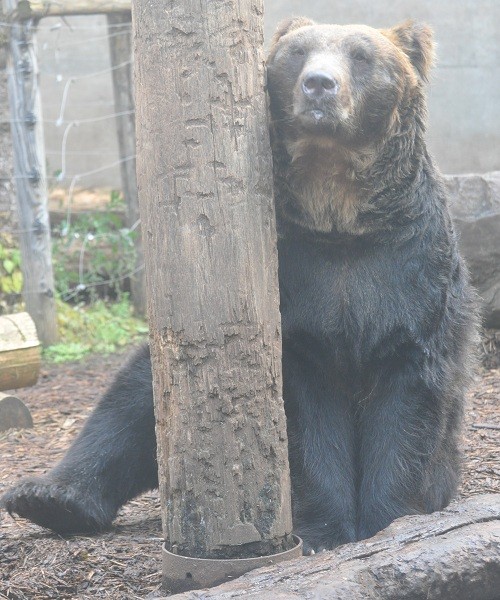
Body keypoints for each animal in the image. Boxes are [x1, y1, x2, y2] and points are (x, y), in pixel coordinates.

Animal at [0, 17, 476, 552]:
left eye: (361, 56)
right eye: (297, 53)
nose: (319, 84)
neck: (339, 214)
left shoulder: (408, 273)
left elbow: (410, 397)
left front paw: (391, 519)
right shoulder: (296, 283)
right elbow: (303, 416)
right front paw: (322, 529)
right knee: (128, 403)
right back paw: (48, 497)